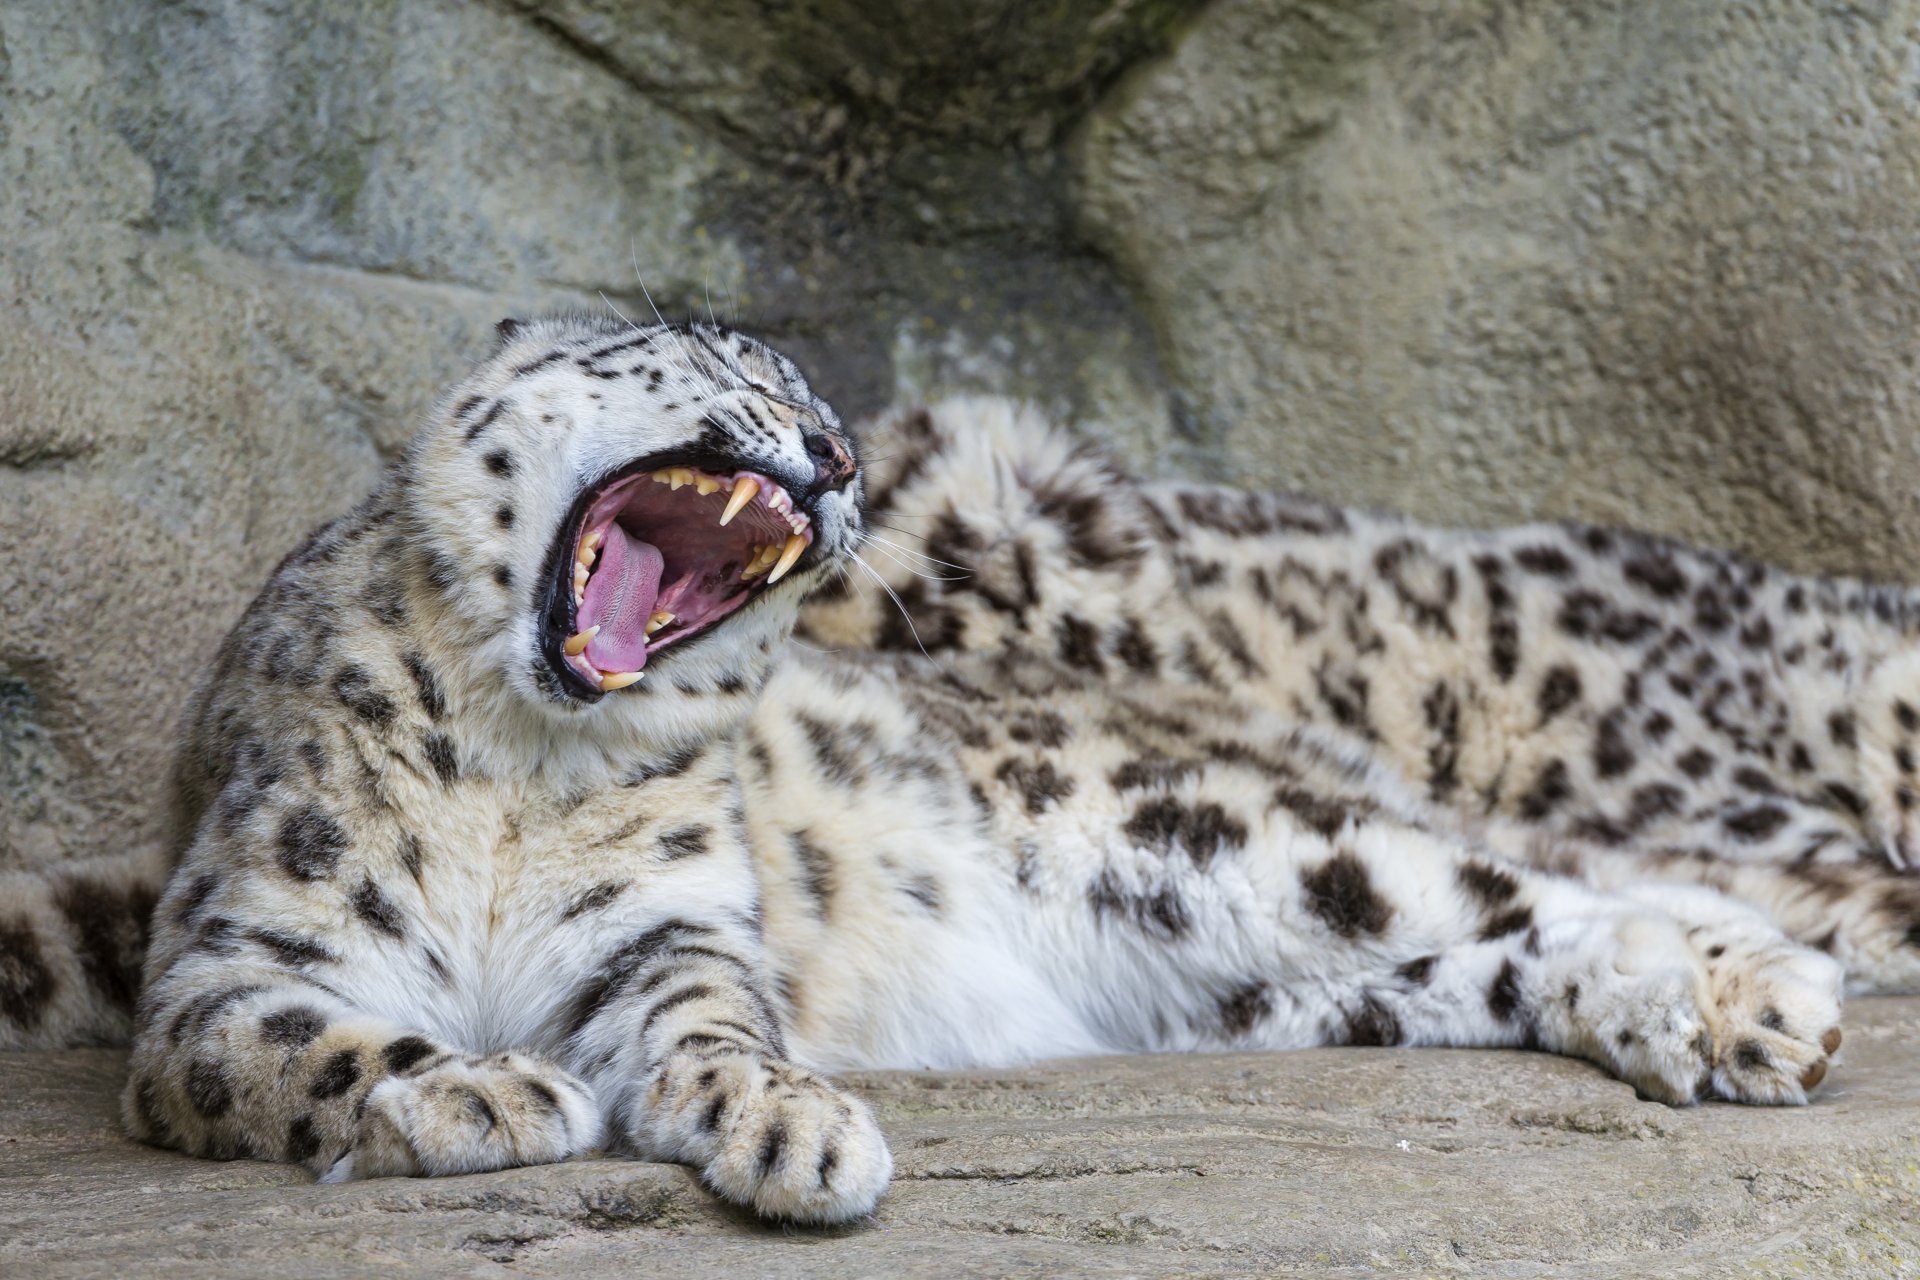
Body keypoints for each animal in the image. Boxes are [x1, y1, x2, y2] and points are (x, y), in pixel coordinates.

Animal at [6, 312, 1916, 1225]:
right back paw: (1710, 1015)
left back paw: (1759, 1001)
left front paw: (781, 1127)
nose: (836, 452)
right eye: (716, 362)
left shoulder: (668, 933)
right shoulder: (238, 954)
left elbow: (713, 1027)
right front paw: (476, 1092)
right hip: (1256, 986)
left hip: (1211, 839)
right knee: (1481, 955)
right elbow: (291, 1047)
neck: (522, 768)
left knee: (1539, 882)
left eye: (827, 411)